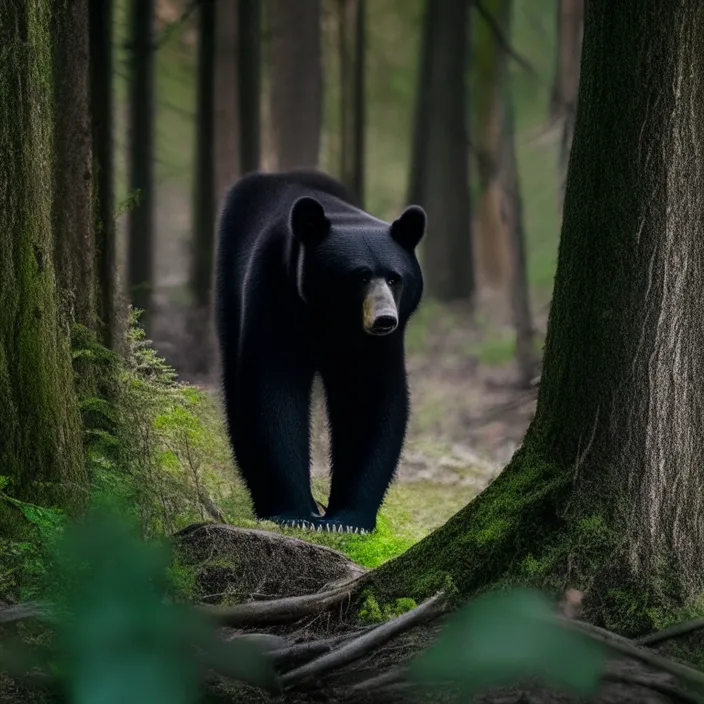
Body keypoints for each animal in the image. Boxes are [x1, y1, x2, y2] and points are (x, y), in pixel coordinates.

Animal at [214, 169, 426, 532]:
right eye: (360, 276)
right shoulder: (276, 290)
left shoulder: (372, 346)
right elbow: (273, 389)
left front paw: (348, 517)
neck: (331, 317)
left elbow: (368, 399)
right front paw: (296, 512)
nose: (385, 319)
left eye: (394, 278)